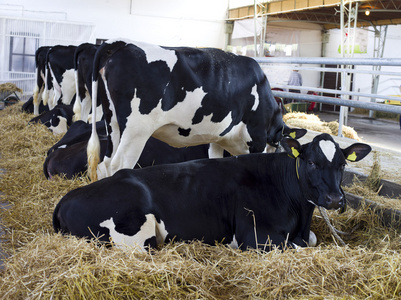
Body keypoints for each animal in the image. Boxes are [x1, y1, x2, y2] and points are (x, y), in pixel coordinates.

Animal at [53, 133, 372, 251]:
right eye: (311, 162)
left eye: (343, 164)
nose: (335, 199)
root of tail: (65, 199)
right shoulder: (256, 236)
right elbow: (296, 246)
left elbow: (312, 240)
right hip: (135, 236)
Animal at [88, 39, 306, 180]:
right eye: (278, 143)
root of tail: (121, 43)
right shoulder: (257, 137)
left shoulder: (218, 138)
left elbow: (216, 159)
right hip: (136, 130)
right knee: (119, 165)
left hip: (113, 122)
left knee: (104, 164)